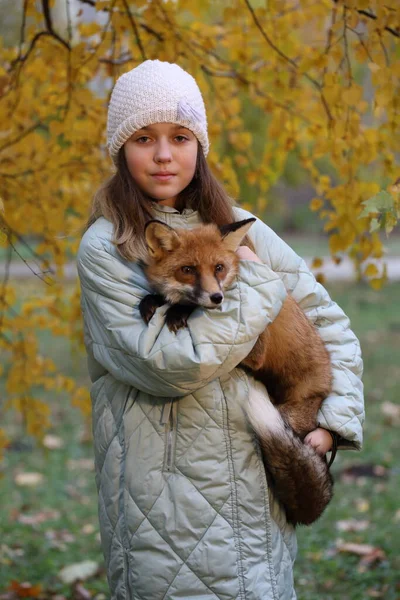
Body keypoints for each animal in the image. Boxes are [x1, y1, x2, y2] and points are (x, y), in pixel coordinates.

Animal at [140, 217, 334, 524]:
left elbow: (186, 305)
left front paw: (178, 310)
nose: (217, 297)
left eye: (218, 267)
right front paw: (152, 301)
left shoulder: (255, 349)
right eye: (187, 270)